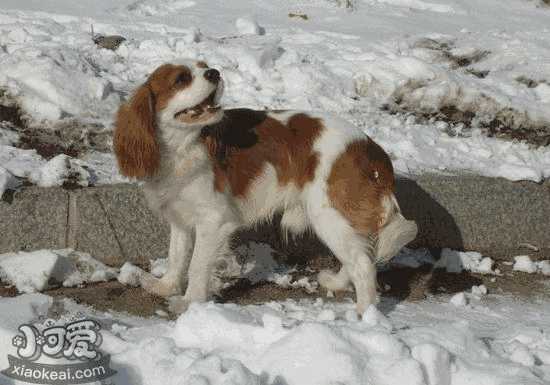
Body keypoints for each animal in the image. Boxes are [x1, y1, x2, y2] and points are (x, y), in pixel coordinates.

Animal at [115, 59, 418, 312]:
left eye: (203, 67)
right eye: (181, 79)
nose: (214, 72)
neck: (183, 146)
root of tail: (370, 147)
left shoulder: (214, 220)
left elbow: (197, 265)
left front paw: (190, 303)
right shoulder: (180, 215)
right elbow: (177, 255)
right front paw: (166, 287)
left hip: (328, 213)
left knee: (364, 265)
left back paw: (366, 317)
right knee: (361, 253)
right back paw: (338, 284)